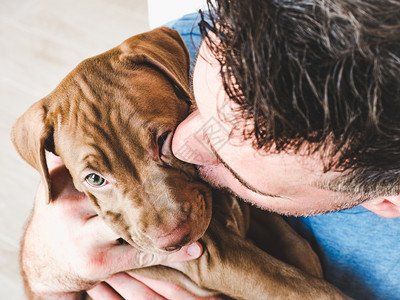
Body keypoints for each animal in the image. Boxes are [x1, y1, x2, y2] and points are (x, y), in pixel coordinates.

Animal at [11, 27, 350, 298]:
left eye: (164, 139)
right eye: (95, 179)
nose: (172, 241)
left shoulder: (244, 205)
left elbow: (295, 244)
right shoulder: (212, 255)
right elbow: (305, 287)